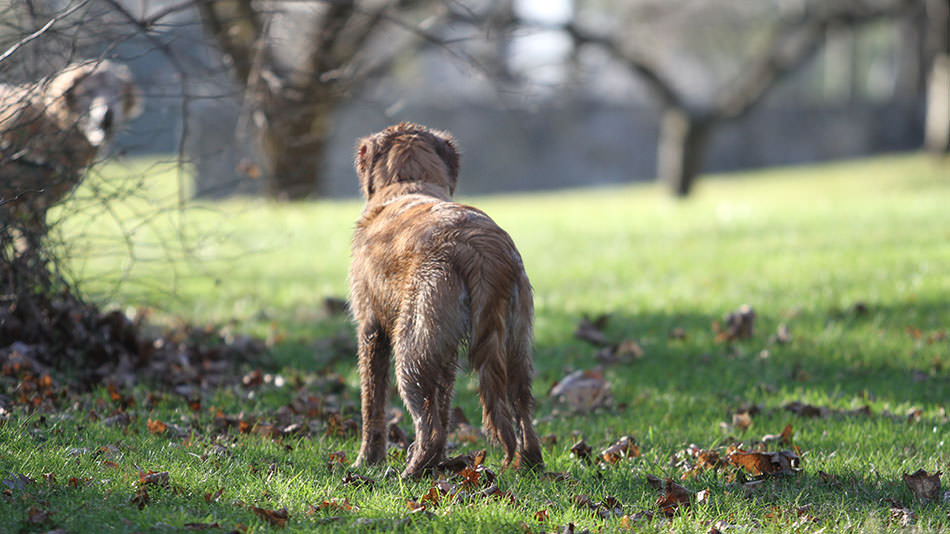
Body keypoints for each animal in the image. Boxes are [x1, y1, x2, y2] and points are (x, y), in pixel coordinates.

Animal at [350, 123, 544, 480]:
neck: (407, 184)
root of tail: (482, 249)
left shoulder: (371, 329)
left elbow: (372, 405)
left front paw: (367, 460)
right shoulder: (447, 348)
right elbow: (444, 402)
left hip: (410, 349)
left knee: (430, 428)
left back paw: (409, 474)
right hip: (514, 346)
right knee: (522, 408)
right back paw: (529, 465)